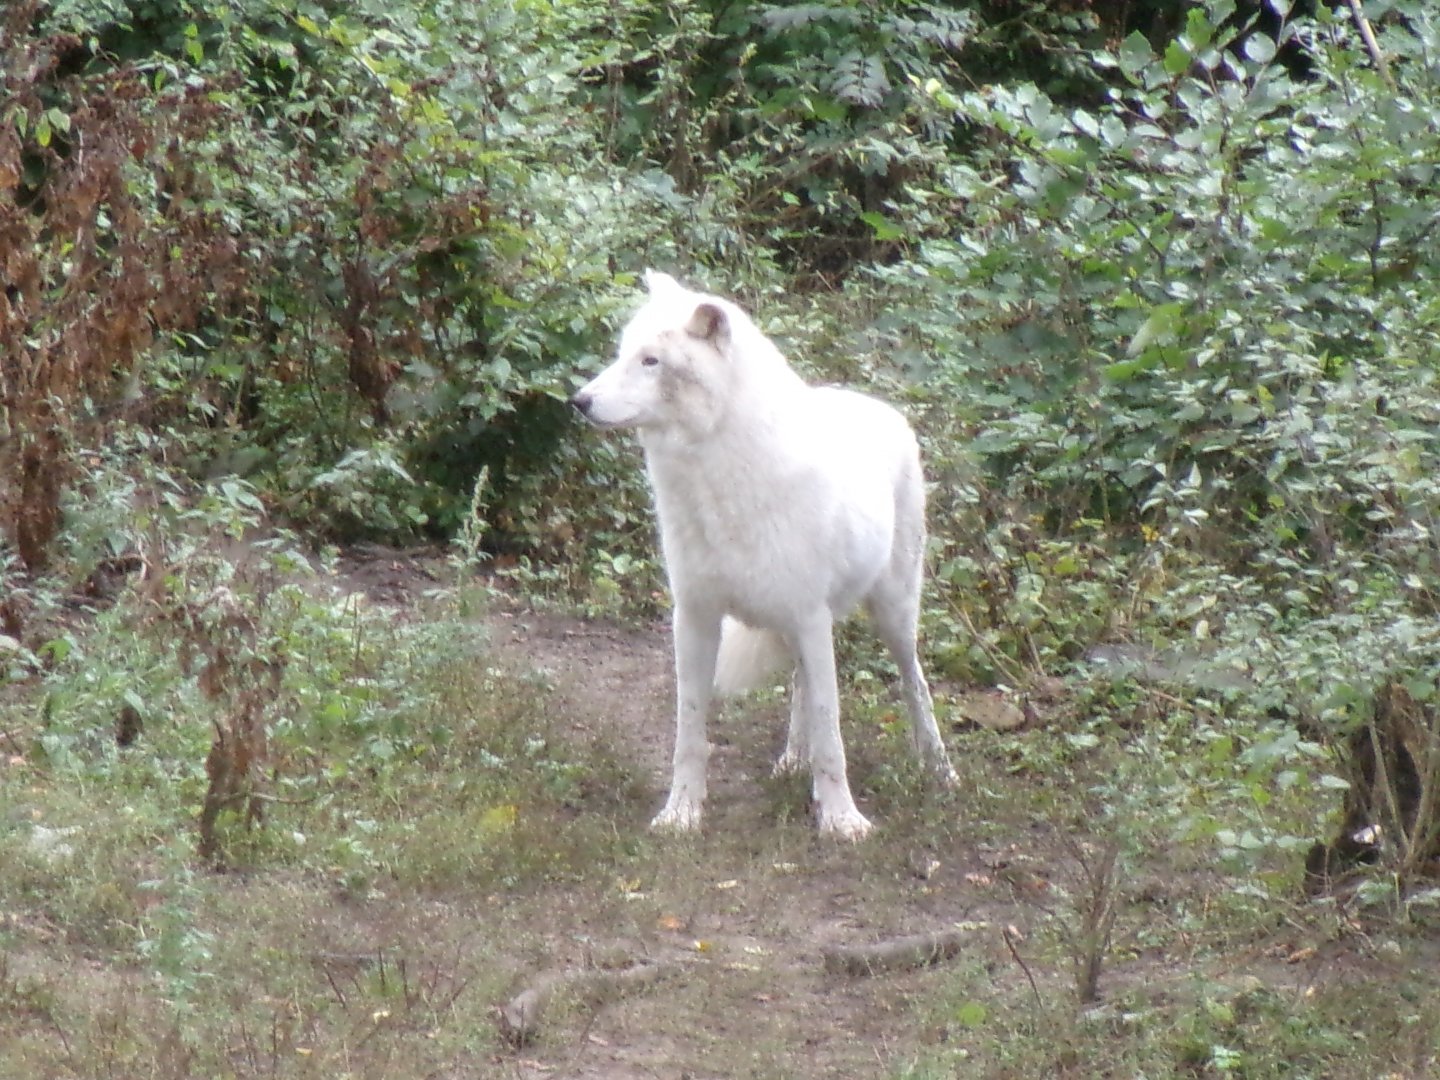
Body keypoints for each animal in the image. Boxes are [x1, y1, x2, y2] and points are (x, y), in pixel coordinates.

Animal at [570, 271, 956, 838]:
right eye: (623, 355)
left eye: (651, 361)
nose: (578, 401)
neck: (715, 478)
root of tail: (877, 404)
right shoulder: (695, 617)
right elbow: (690, 733)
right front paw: (681, 814)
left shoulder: (809, 616)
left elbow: (831, 731)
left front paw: (842, 821)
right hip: (802, 625)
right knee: (800, 685)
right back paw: (792, 760)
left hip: (892, 614)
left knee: (914, 683)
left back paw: (938, 768)